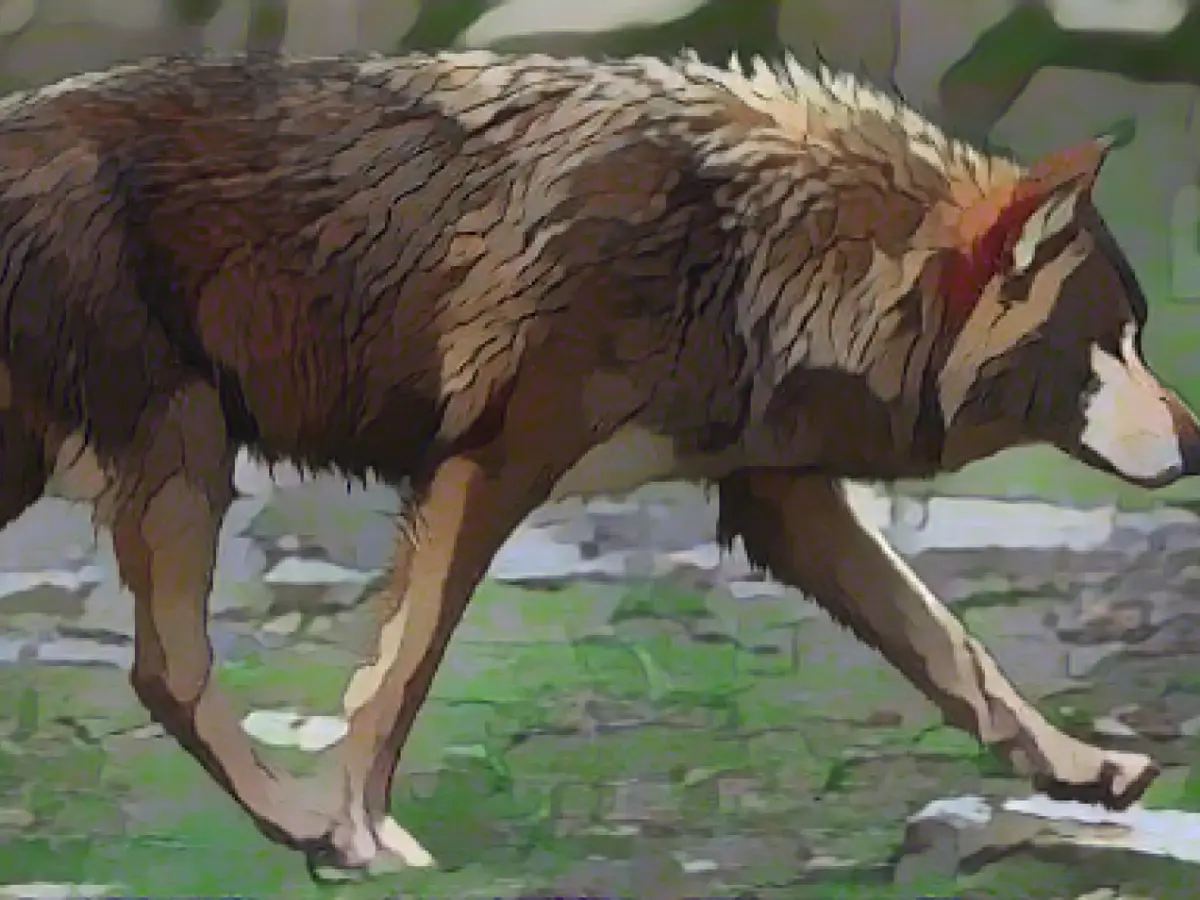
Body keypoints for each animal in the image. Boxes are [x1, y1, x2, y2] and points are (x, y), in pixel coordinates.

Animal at [0, 48, 1196, 878]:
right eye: (1113, 343)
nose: (1195, 442)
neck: (758, 247)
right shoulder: (486, 468)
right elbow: (400, 675)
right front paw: (363, 832)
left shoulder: (782, 503)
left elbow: (957, 653)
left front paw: (1083, 769)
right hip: (185, 452)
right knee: (171, 674)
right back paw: (307, 826)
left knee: (162, 674)